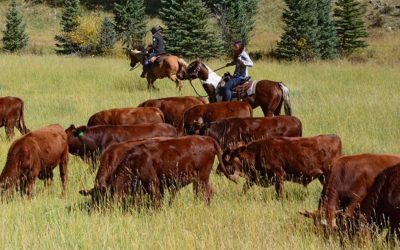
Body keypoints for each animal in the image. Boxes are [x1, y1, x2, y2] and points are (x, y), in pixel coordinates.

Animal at [81, 136, 238, 208]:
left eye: (104, 198)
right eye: (94, 198)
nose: (100, 210)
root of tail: (206, 138)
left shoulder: (153, 185)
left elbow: (155, 202)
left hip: (201, 179)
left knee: (204, 193)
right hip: (201, 180)